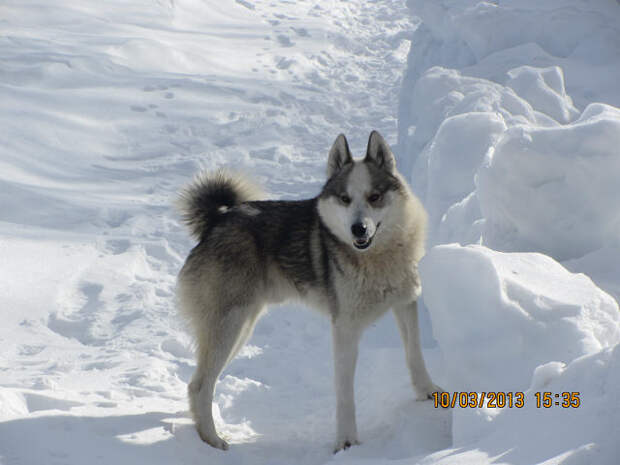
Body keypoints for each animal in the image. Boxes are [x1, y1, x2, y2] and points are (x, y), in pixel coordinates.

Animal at [177, 130, 444, 450]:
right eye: (345, 199)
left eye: (374, 197)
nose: (358, 229)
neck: (377, 258)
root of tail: (216, 222)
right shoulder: (345, 328)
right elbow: (345, 393)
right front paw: (346, 442)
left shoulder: (405, 303)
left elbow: (414, 354)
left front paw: (428, 393)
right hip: (228, 328)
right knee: (200, 386)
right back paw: (212, 440)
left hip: (240, 329)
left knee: (197, 384)